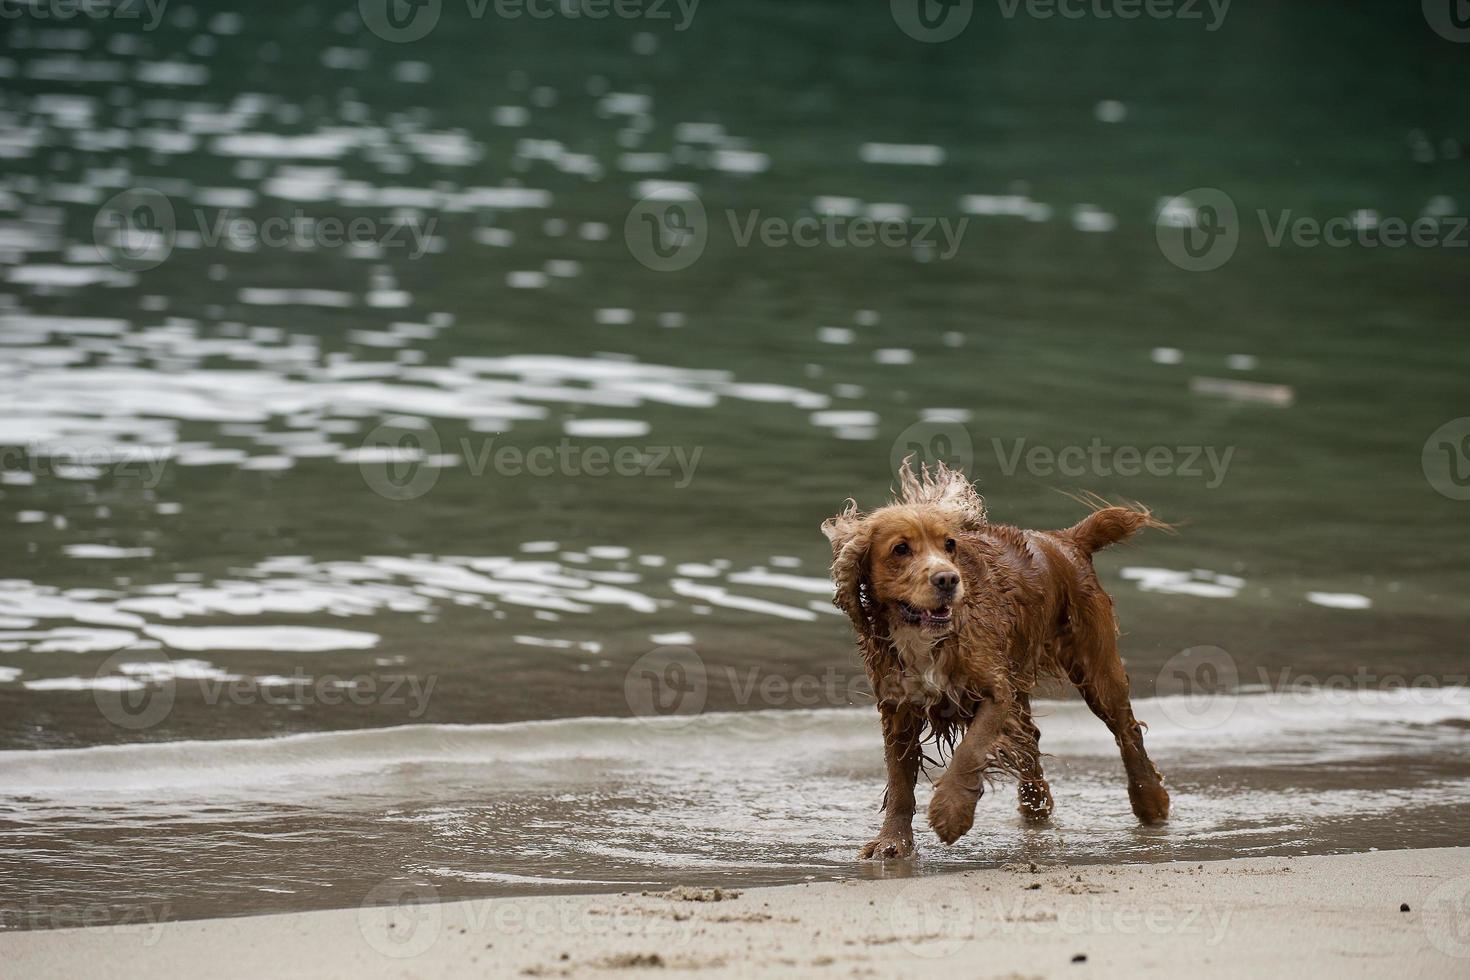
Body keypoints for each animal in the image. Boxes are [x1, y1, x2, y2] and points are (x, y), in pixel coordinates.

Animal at [823, 461, 1176, 858]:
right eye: (900, 549)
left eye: (949, 544)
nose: (948, 579)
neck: (923, 638)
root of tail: (1067, 540)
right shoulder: (898, 707)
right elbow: (899, 782)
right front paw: (893, 842)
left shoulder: (994, 691)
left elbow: (971, 750)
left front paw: (951, 812)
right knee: (1030, 740)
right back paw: (1036, 806)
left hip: (1094, 666)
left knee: (1126, 730)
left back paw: (1150, 801)